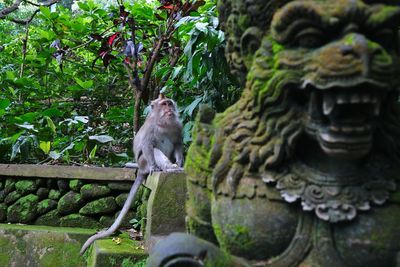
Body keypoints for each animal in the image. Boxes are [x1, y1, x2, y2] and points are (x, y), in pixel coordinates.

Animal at [80, 94, 184, 255]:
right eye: (164, 104)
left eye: (169, 103)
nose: (169, 109)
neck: (164, 124)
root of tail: (140, 168)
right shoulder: (150, 127)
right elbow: (147, 145)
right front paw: (155, 166)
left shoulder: (177, 126)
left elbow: (178, 144)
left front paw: (180, 162)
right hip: (143, 162)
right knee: (153, 151)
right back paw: (167, 168)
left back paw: (174, 166)